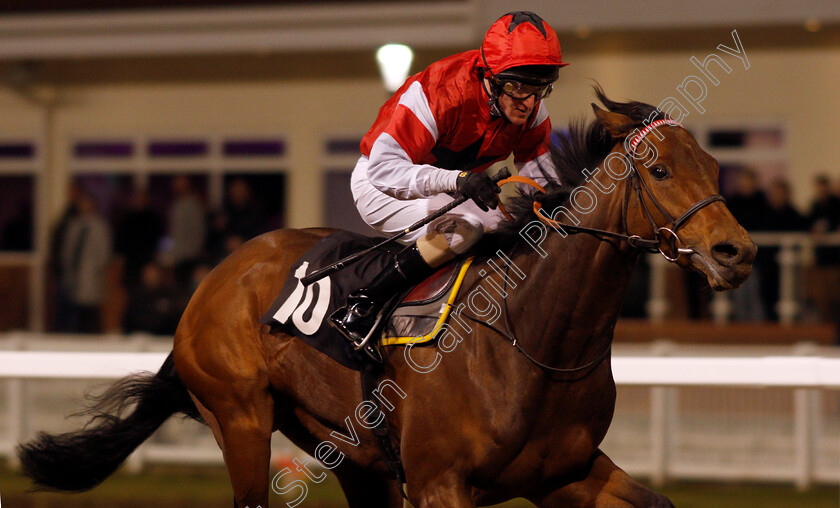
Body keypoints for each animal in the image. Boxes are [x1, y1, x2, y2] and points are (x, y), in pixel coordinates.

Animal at [18, 89, 756, 506]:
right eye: (658, 170)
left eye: (715, 165)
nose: (737, 252)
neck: (535, 341)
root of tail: (216, 278)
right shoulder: (440, 485)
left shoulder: (564, 475)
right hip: (240, 418)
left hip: (346, 452)